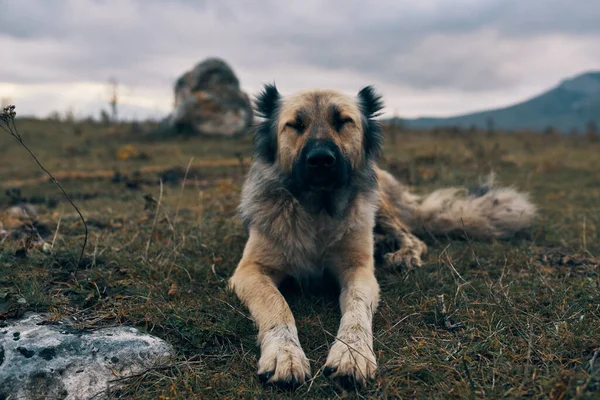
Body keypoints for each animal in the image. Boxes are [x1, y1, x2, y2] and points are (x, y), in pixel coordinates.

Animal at [227, 84, 536, 388]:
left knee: (413, 237)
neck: (318, 211)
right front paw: (285, 353)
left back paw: (403, 254)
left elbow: (356, 311)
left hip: (381, 204)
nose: (321, 160)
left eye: (343, 121)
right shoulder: (251, 271)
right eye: (295, 125)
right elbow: (277, 306)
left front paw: (353, 353)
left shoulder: (359, 270)